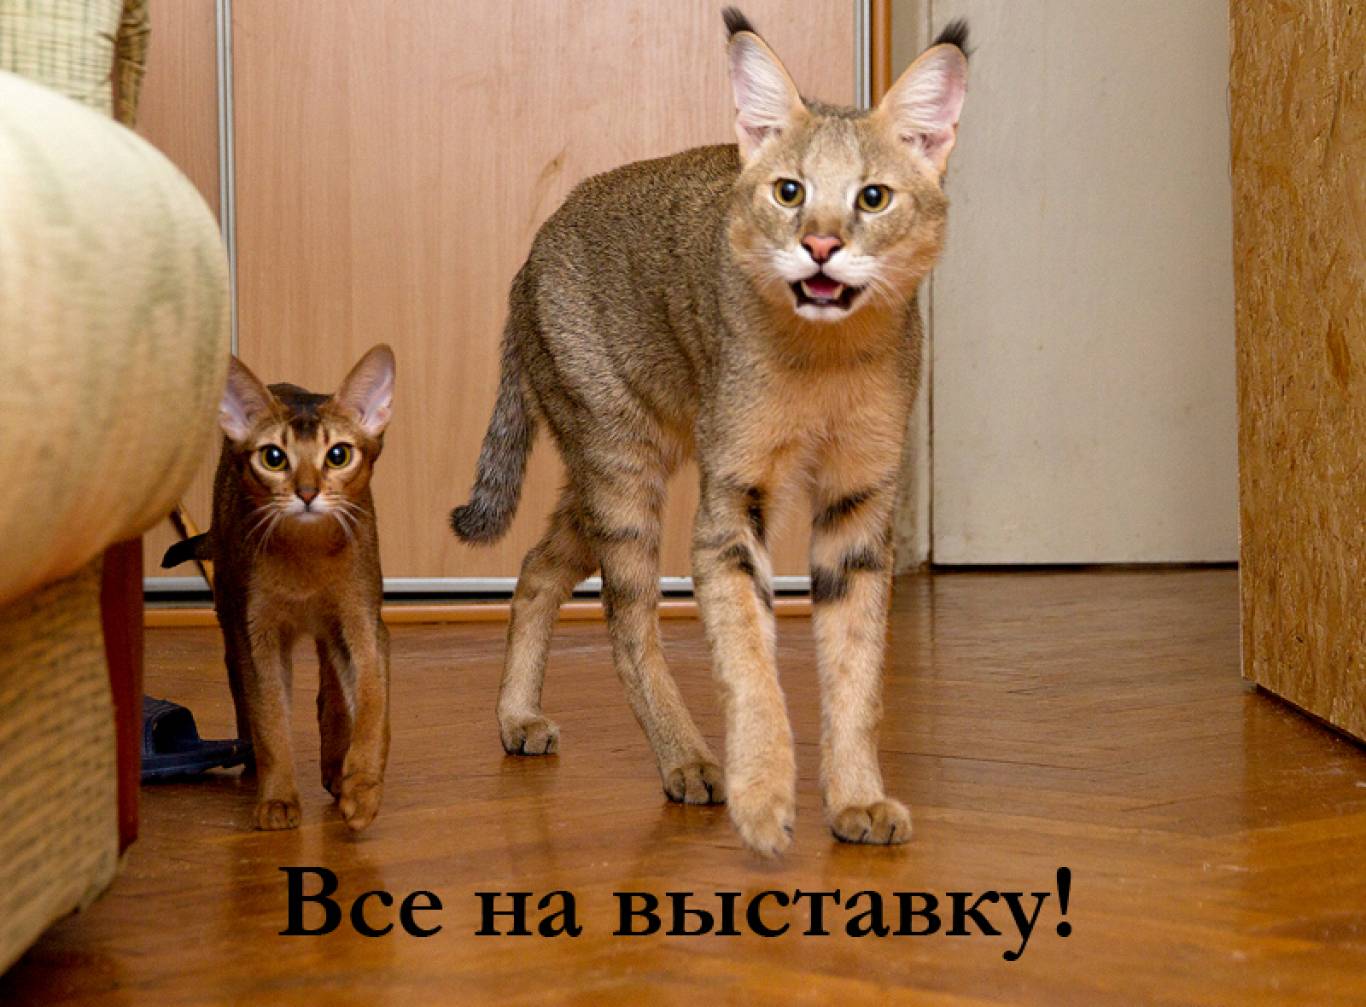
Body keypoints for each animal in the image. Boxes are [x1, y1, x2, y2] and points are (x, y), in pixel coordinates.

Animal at [163, 345, 396, 832]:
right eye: (273, 458)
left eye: (338, 455)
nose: (307, 492)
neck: (307, 556)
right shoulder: (259, 634)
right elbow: (271, 718)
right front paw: (278, 799)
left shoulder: (363, 623)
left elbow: (372, 703)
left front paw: (363, 790)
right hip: (230, 607)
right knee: (239, 683)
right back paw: (253, 759)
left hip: (332, 628)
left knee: (330, 689)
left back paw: (335, 768)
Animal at [451, 9, 968, 855]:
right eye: (789, 191)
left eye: (874, 197)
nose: (820, 246)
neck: (825, 356)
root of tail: (525, 267)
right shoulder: (733, 503)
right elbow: (748, 661)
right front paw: (761, 801)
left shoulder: (859, 509)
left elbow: (856, 669)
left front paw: (857, 798)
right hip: (622, 469)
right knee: (626, 622)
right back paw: (686, 760)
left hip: (602, 476)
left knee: (535, 566)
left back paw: (517, 716)